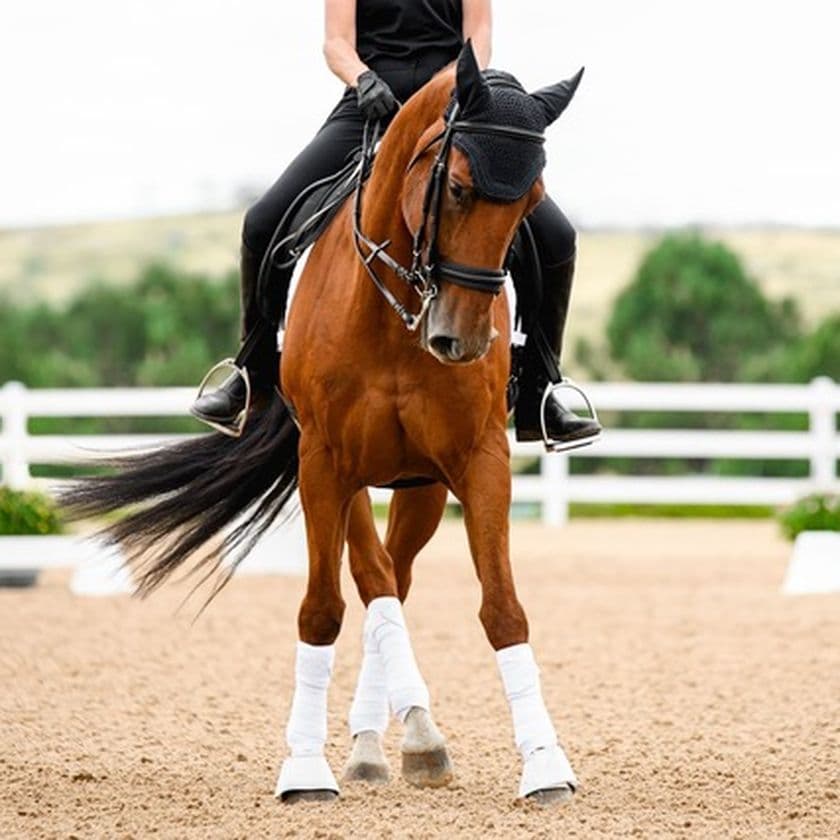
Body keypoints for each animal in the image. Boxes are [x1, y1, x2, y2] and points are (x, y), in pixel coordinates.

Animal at [64, 42, 582, 806]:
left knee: (393, 577)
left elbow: (501, 608)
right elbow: (323, 608)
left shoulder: (477, 458)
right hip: (345, 474)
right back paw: (382, 741)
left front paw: (545, 763)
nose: (460, 341)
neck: (397, 308)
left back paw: (407, 737)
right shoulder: (326, 463)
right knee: (372, 577)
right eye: (457, 188)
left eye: (532, 203)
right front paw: (305, 769)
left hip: (420, 484)